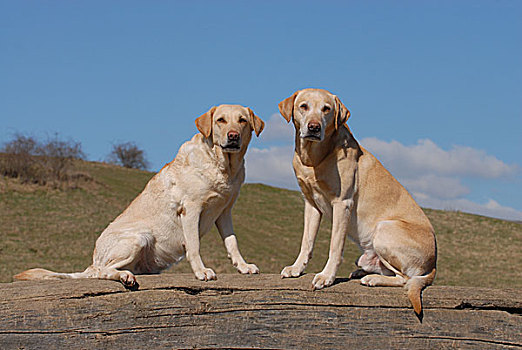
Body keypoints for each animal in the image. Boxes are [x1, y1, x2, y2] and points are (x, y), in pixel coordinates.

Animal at [15, 105, 264, 288]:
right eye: (220, 120)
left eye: (242, 120)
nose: (233, 136)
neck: (223, 166)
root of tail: (92, 261)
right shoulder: (191, 209)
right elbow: (194, 246)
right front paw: (202, 271)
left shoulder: (224, 212)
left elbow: (232, 243)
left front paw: (243, 266)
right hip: (139, 237)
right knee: (102, 271)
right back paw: (124, 277)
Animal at [280, 89, 434, 318]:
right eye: (303, 106)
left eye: (326, 109)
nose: (314, 127)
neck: (315, 158)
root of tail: (434, 264)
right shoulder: (311, 204)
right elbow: (306, 242)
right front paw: (296, 268)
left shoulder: (342, 203)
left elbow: (335, 246)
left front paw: (326, 276)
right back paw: (363, 271)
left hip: (384, 228)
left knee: (406, 279)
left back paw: (372, 279)